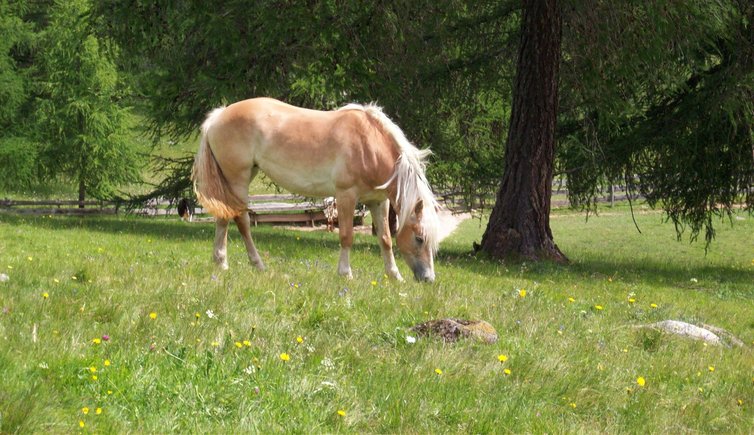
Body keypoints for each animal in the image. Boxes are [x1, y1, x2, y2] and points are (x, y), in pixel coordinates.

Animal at [191, 98, 440, 282]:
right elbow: (346, 236)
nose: (428, 279)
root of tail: (219, 115)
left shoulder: (378, 201)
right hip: (238, 180)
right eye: (419, 238)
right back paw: (258, 264)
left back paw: (221, 263)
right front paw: (345, 274)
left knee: (223, 217)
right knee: (241, 220)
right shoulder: (346, 196)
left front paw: (394, 276)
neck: (369, 145)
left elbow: (386, 238)